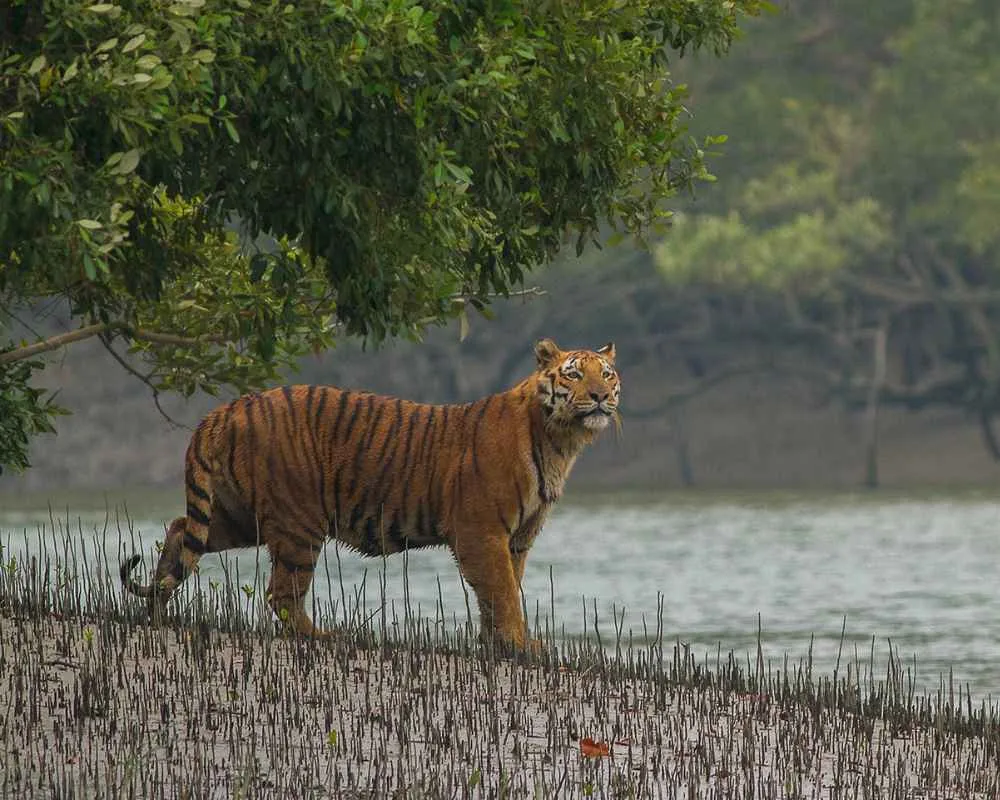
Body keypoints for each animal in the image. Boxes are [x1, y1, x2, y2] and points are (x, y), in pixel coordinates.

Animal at [120, 338, 621, 650]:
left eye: (607, 374)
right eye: (574, 375)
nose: (600, 396)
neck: (560, 440)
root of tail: (226, 408)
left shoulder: (517, 538)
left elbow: (503, 590)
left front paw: (497, 643)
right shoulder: (481, 531)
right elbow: (502, 591)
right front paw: (519, 644)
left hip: (238, 516)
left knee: (180, 530)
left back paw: (157, 611)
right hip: (298, 522)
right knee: (281, 593)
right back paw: (321, 637)